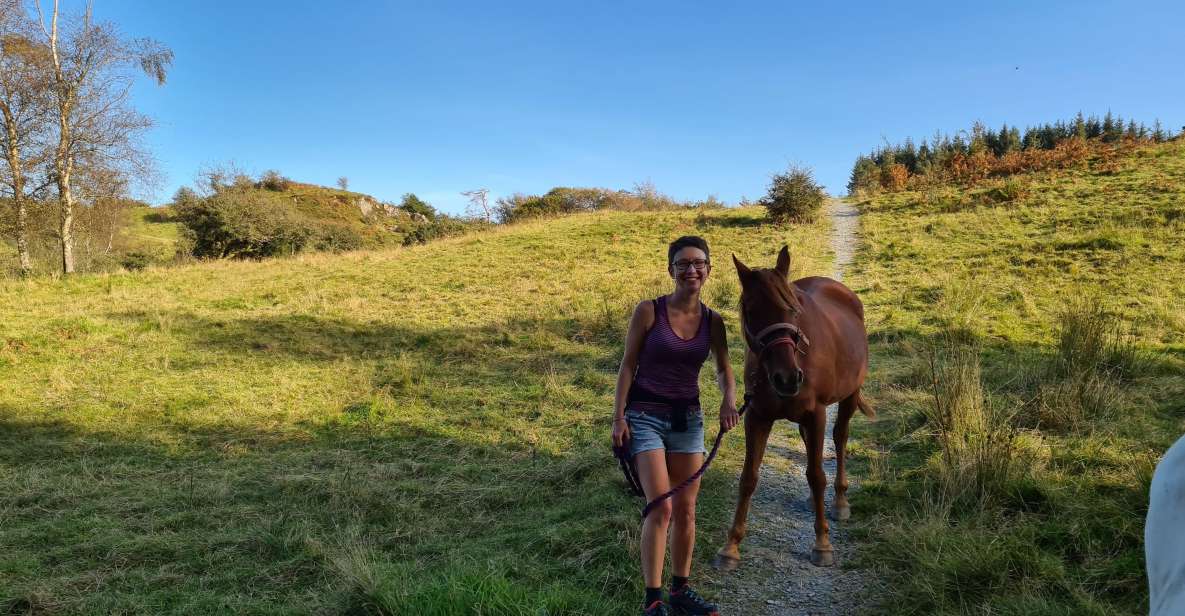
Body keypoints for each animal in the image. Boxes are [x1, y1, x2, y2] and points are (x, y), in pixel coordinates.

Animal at [710, 244, 872, 568]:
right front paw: (731, 545)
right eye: (751, 312)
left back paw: (840, 500)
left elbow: (816, 475)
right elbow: (749, 477)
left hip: (849, 396)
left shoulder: (816, 414)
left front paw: (822, 543)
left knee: (840, 438)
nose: (787, 378)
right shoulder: (757, 417)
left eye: (793, 309)